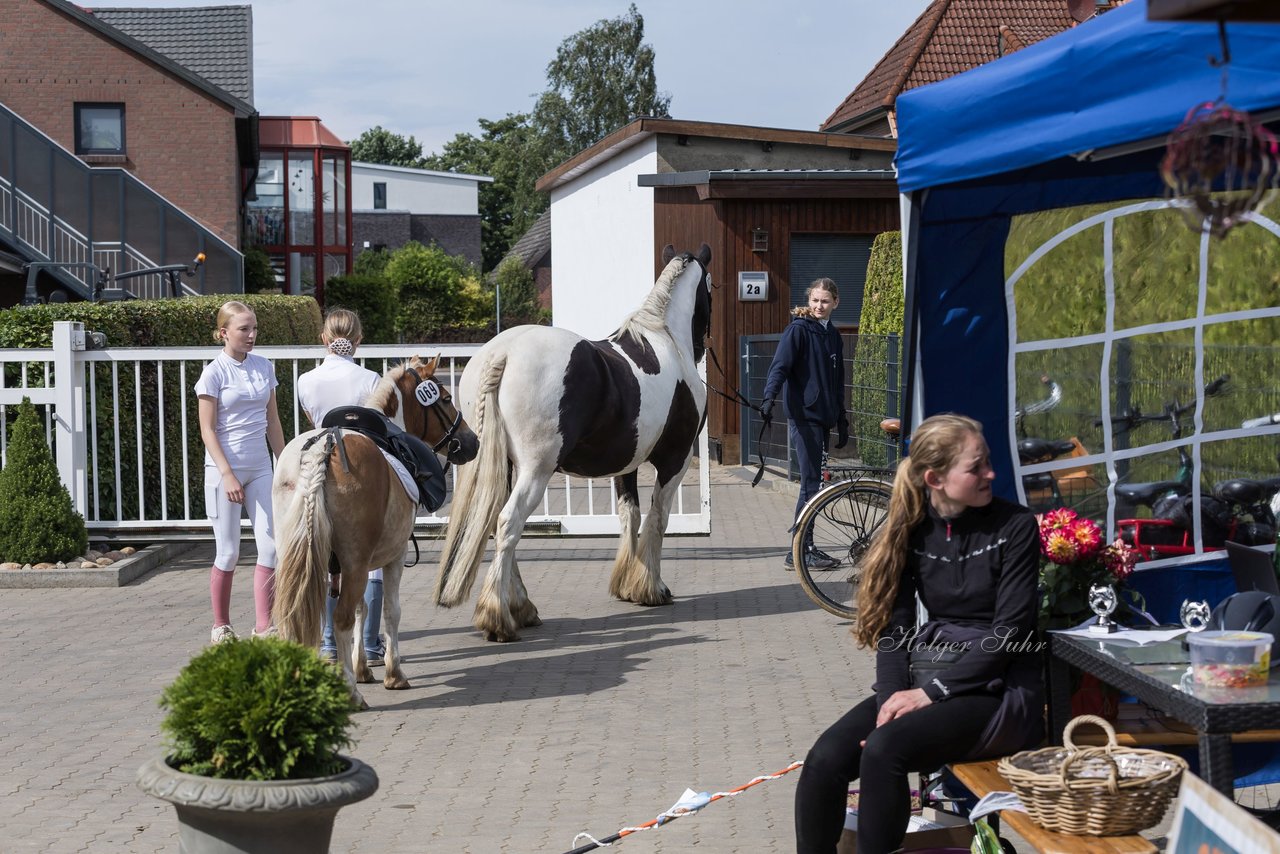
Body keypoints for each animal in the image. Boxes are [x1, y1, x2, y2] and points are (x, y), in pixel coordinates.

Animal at [275, 358, 481, 706]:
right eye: (445, 399)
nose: (472, 441)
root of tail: (323, 448)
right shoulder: (393, 557)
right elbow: (390, 611)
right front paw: (393, 674)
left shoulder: (348, 566)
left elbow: (364, 607)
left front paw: (361, 668)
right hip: (357, 562)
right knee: (341, 618)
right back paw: (350, 693)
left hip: (298, 558)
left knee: (300, 616)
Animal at [437, 243, 716, 637]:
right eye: (712, 288)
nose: (701, 345)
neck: (665, 341)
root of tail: (502, 353)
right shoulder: (674, 463)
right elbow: (658, 519)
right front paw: (652, 588)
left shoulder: (627, 465)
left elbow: (629, 515)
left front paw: (627, 586)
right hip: (535, 470)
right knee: (508, 522)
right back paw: (499, 617)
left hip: (500, 465)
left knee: (495, 522)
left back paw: (521, 608)